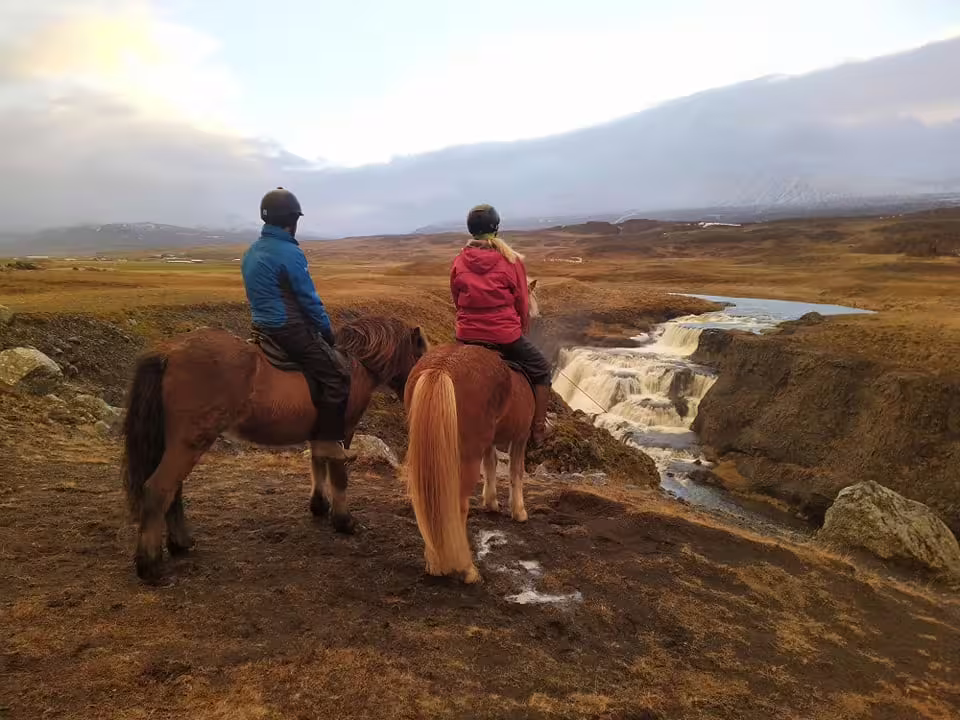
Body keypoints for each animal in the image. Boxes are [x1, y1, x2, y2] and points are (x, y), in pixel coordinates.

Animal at [121, 315, 428, 583]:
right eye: (420, 353)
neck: (355, 365)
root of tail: (169, 352)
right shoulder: (343, 432)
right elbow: (339, 475)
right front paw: (344, 522)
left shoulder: (320, 435)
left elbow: (318, 464)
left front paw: (319, 506)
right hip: (190, 442)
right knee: (159, 489)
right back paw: (150, 566)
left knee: (173, 490)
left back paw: (181, 543)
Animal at [402, 280, 542, 584]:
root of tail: (442, 367)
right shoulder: (520, 437)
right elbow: (516, 472)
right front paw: (519, 511)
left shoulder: (488, 443)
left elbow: (491, 466)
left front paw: (491, 503)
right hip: (465, 458)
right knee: (457, 505)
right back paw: (466, 569)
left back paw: (434, 562)